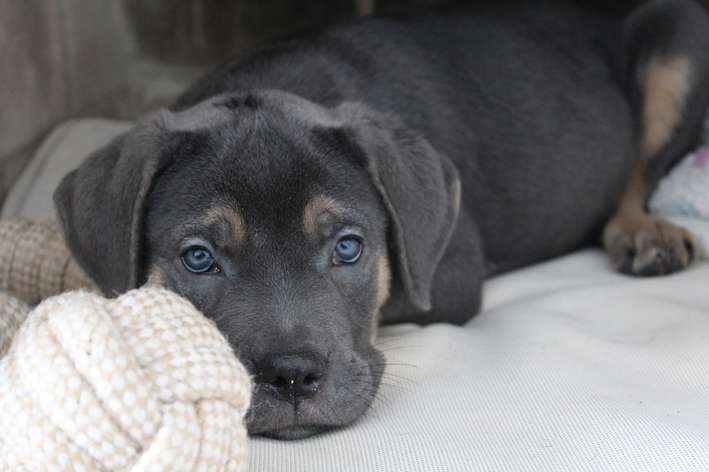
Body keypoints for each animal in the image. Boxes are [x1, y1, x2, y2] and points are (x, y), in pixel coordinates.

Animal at [52, 0, 708, 438]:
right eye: (198, 258)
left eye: (348, 248)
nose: (292, 378)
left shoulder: (447, 273)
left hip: (680, 34)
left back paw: (644, 232)